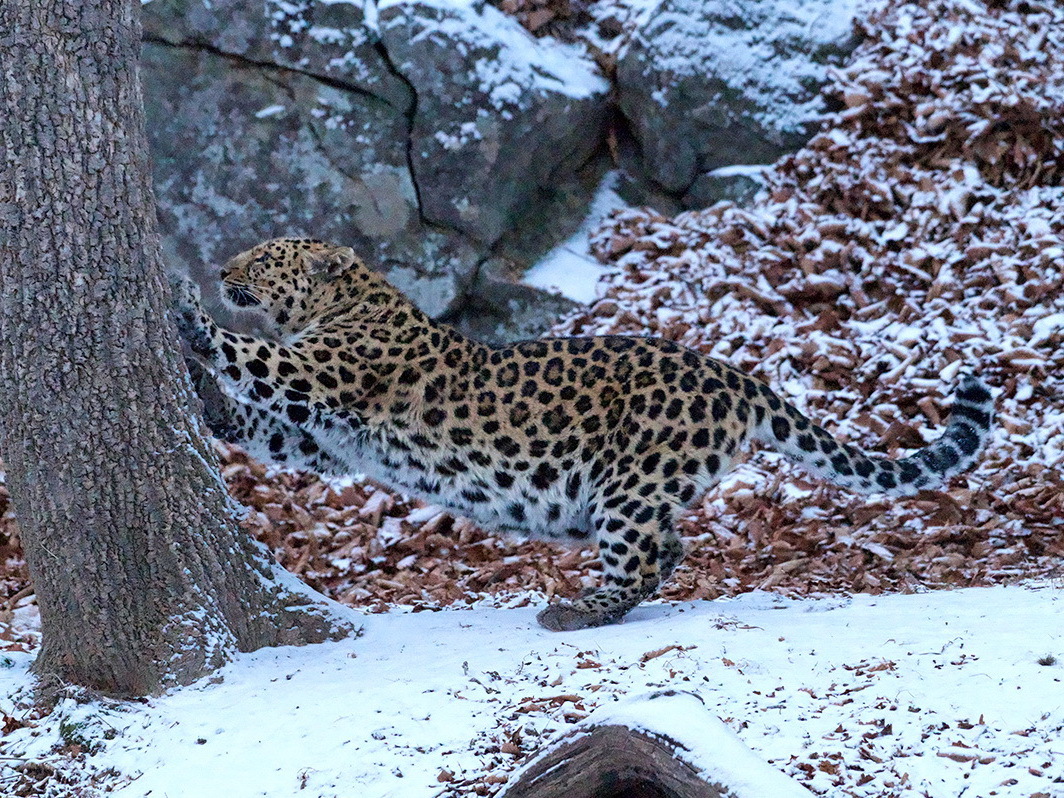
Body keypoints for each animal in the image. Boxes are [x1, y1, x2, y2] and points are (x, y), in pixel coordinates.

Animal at [168, 237, 995, 629]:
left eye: (263, 258)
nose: (219, 266)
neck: (336, 306)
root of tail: (738, 376)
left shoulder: (326, 377)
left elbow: (255, 357)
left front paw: (189, 317)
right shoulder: (327, 437)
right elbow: (265, 426)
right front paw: (209, 402)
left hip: (631, 480)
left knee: (642, 555)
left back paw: (577, 610)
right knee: (672, 548)